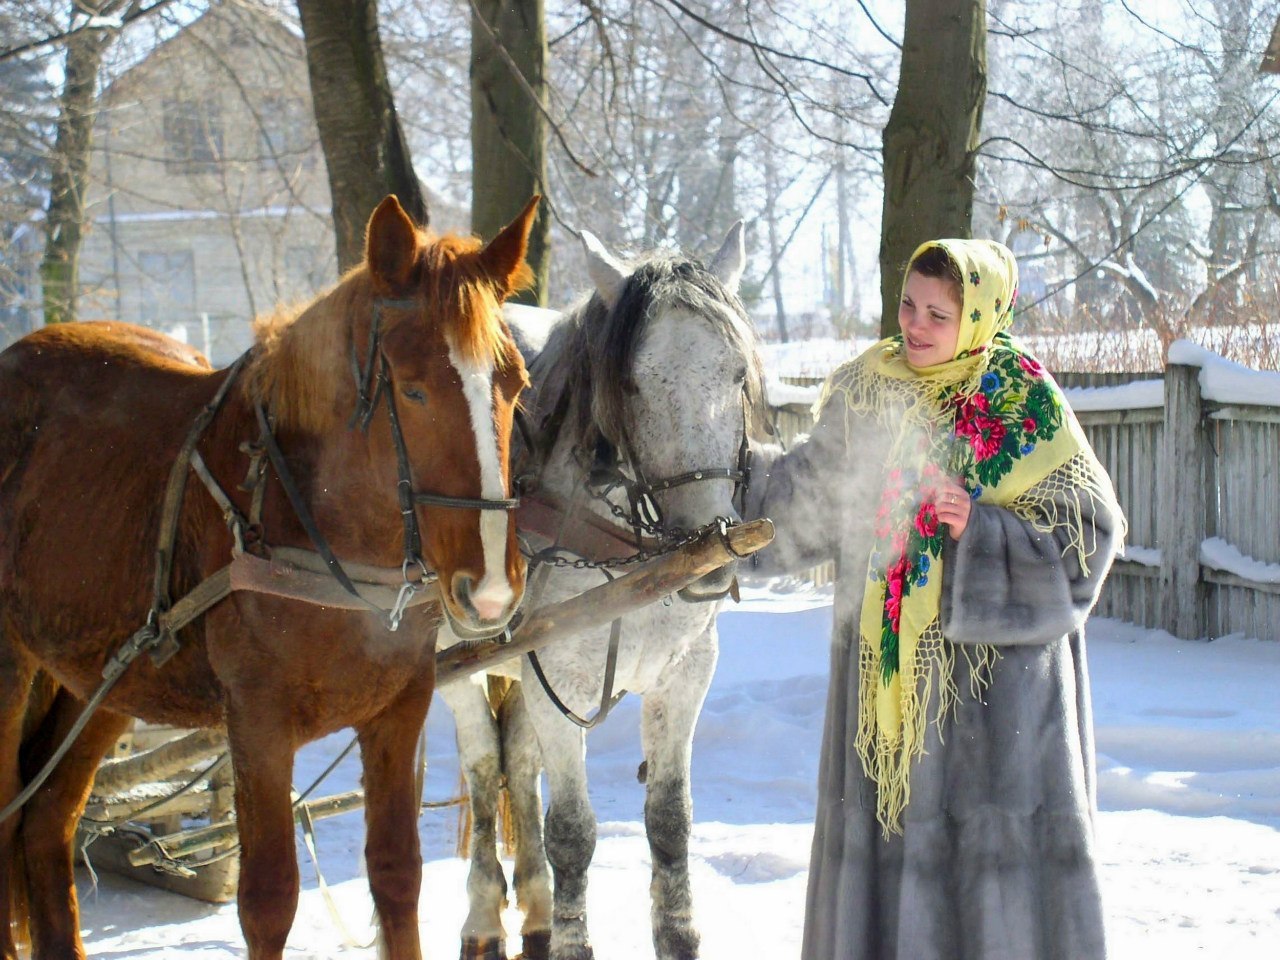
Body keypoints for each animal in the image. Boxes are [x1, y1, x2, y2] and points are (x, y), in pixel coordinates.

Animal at [0, 195, 535, 960]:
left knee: (44, 821)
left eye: (513, 383)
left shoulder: (399, 709)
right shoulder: (256, 720)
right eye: (412, 389)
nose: (490, 588)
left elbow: (397, 876)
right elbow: (268, 898)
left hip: (100, 677)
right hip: (12, 667)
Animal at [437, 227, 768, 960]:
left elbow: (670, 820)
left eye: (736, 375)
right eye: (632, 383)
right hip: (459, 666)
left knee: (516, 761)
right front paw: (571, 939)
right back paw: (482, 919)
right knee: (482, 771)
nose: (708, 545)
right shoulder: (556, 681)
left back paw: (533, 911)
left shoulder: (685, 676)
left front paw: (677, 934)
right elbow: (573, 833)